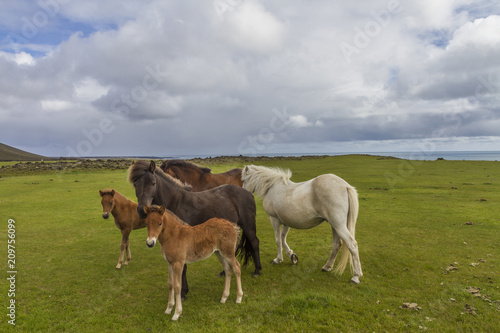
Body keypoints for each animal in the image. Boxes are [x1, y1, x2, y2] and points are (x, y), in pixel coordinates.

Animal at [129, 160, 262, 300]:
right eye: (135, 184)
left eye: (153, 183)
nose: (141, 211)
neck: (176, 202)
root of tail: (247, 193)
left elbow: (183, 267)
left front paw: (183, 293)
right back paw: (224, 272)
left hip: (248, 225)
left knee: (254, 242)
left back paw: (257, 270)